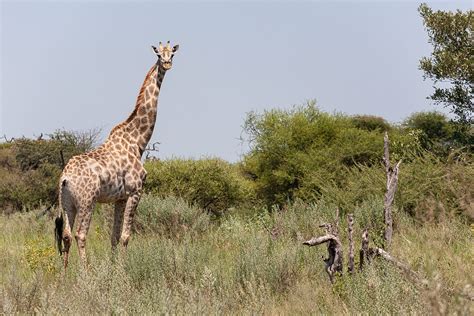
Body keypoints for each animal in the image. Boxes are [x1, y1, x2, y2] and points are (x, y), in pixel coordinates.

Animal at [54, 42, 180, 268]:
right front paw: (123, 270)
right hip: (87, 201)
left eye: (172, 53)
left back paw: (64, 274)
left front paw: (114, 269)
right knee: (80, 234)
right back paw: (86, 273)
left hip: (67, 203)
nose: (167, 63)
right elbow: (125, 236)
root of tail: (65, 178)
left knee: (66, 235)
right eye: (158, 54)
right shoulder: (135, 191)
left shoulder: (119, 198)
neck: (137, 141)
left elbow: (113, 236)